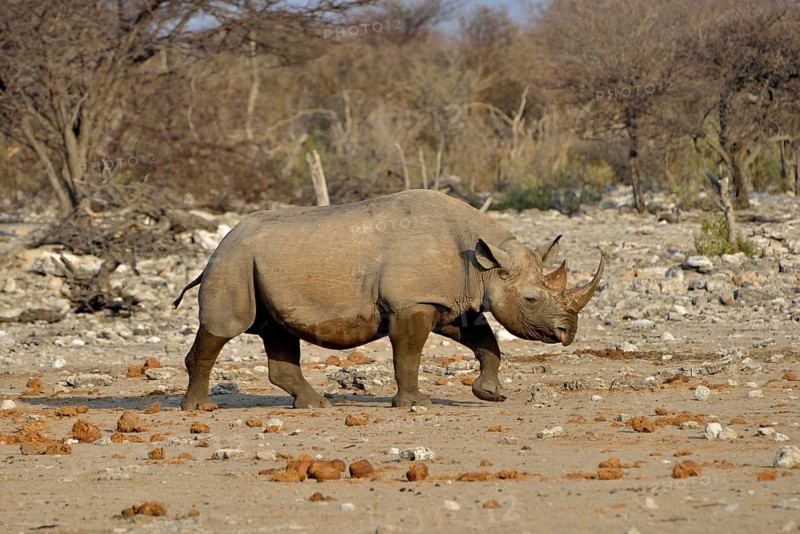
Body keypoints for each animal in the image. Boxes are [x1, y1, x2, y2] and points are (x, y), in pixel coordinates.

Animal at [173, 189, 603, 410]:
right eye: (530, 299)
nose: (568, 332)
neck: (485, 264)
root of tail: (222, 242)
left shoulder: (447, 302)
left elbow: (486, 341)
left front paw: (491, 394)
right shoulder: (411, 303)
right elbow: (408, 355)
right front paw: (416, 404)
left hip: (259, 262)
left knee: (277, 330)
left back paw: (315, 406)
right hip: (233, 261)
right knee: (226, 326)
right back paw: (199, 409)